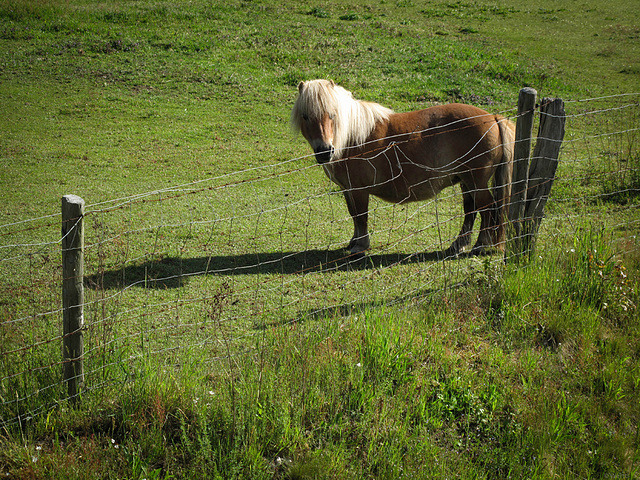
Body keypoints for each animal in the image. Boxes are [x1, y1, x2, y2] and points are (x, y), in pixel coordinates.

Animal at [290, 80, 516, 256]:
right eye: (305, 116)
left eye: (333, 114)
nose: (324, 152)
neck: (351, 138)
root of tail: (494, 118)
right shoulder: (348, 190)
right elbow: (354, 214)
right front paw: (353, 241)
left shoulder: (359, 190)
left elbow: (361, 216)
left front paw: (360, 246)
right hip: (466, 181)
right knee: (471, 210)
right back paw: (458, 245)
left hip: (475, 181)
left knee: (488, 209)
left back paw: (480, 245)